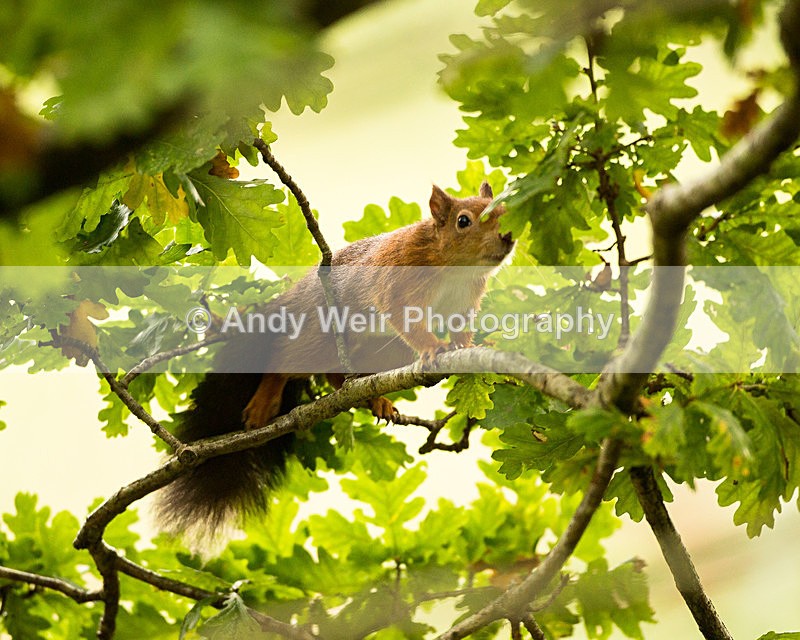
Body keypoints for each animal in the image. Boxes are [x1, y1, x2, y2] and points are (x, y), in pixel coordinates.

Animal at [155, 182, 514, 539]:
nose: (508, 235)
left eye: (504, 208)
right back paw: (264, 403)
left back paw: (373, 398)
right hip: (317, 337)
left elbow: (461, 328)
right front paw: (431, 348)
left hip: (382, 351)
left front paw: (470, 344)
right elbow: (404, 317)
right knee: (282, 362)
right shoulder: (397, 282)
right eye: (463, 221)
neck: (453, 268)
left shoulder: (465, 301)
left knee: (335, 376)